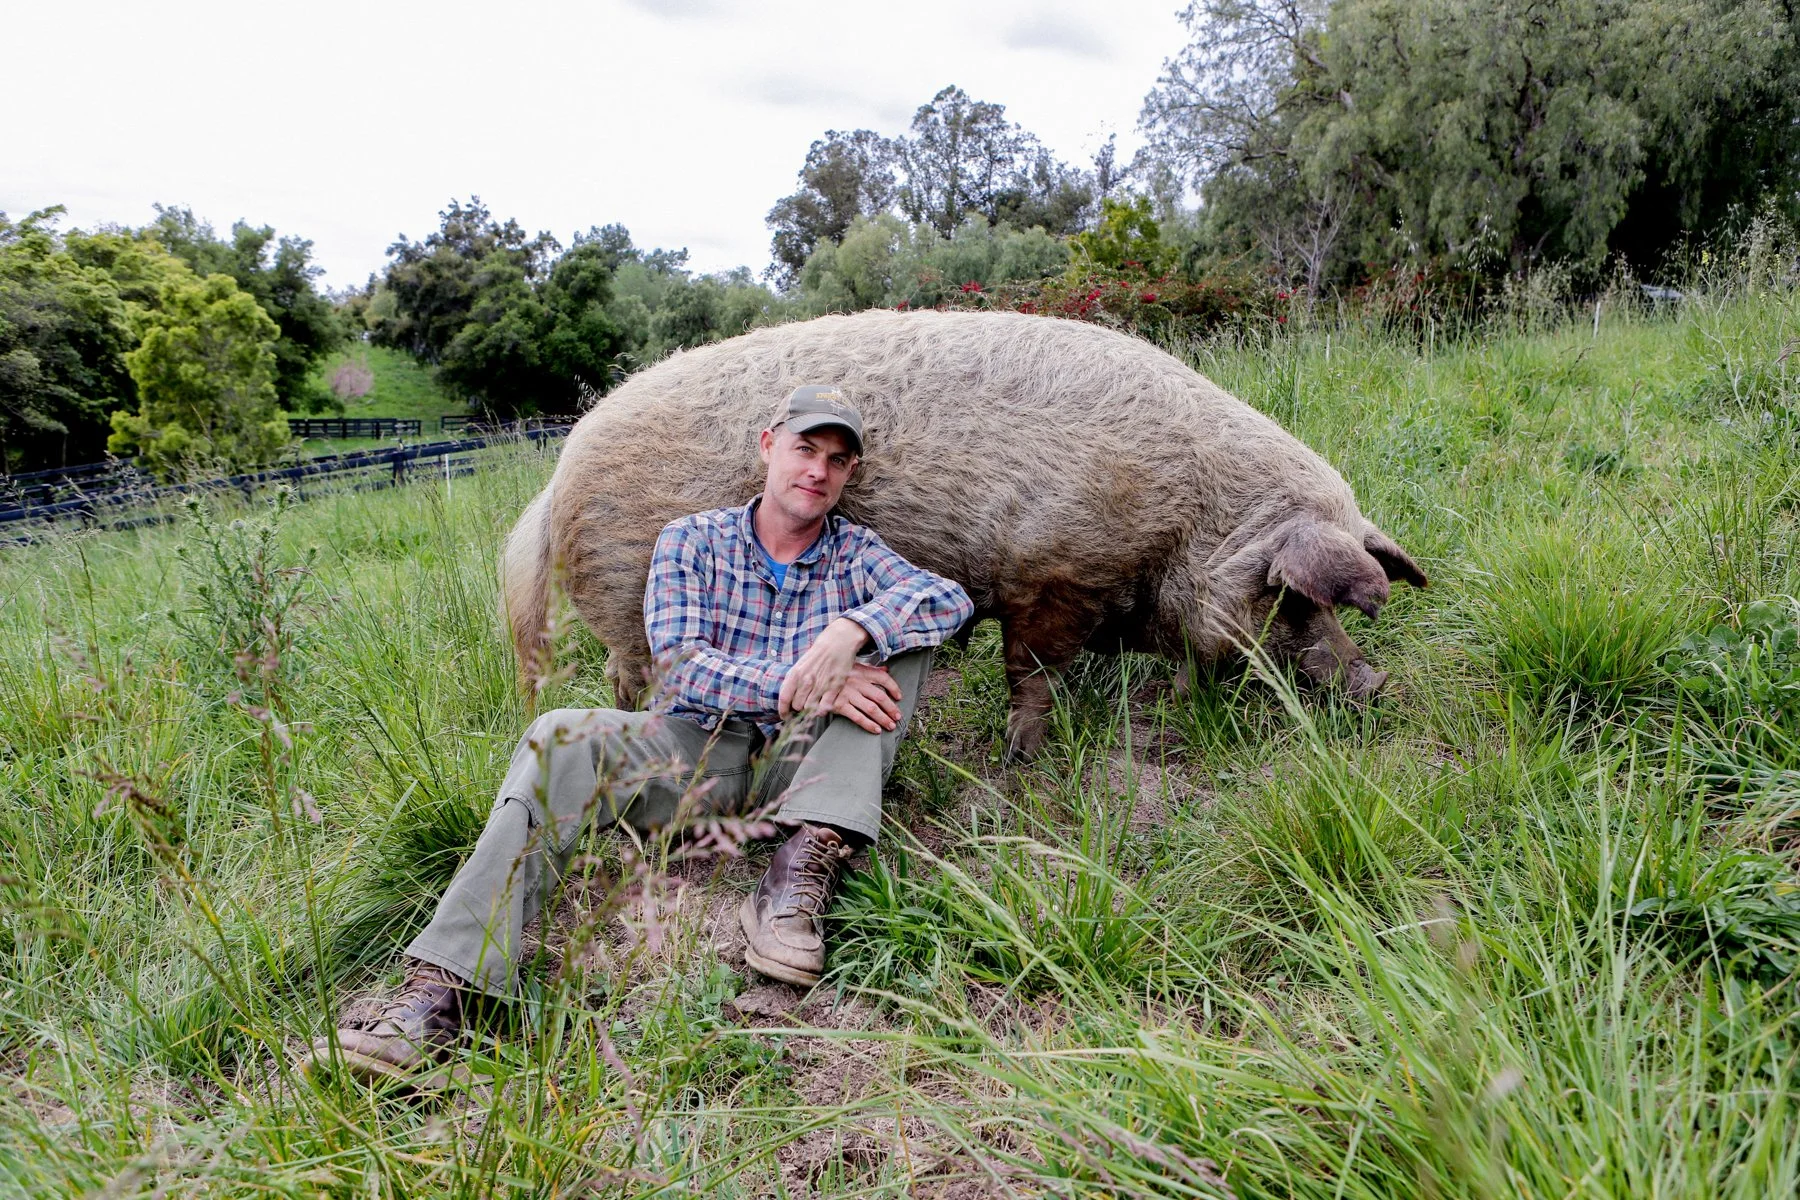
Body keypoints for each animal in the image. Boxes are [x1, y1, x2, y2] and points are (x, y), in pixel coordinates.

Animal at [502, 309, 1425, 759]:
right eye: (1294, 600)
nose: (1377, 682)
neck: (1188, 518)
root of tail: (554, 483)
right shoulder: (1052, 573)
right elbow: (1032, 670)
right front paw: (1023, 757)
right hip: (636, 588)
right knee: (641, 678)